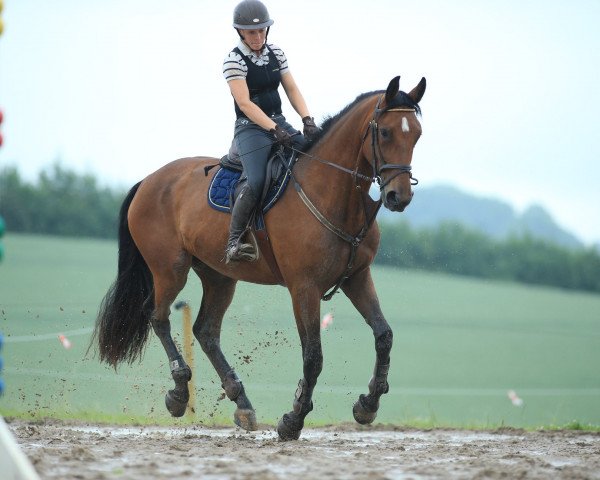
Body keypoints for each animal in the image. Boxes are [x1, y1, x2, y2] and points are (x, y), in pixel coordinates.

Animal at [90, 75, 426, 438]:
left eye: (417, 134)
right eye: (386, 132)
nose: (399, 197)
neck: (334, 193)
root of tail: (148, 180)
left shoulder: (357, 277)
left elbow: (384, 335)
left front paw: (368, 404)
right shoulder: (304, 288)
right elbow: (313, 356)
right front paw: (293, 419)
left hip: (219, 276)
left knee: (206, 331)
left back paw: (242, 403)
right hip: (170, 269)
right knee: (158, 317)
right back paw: (179, 393)